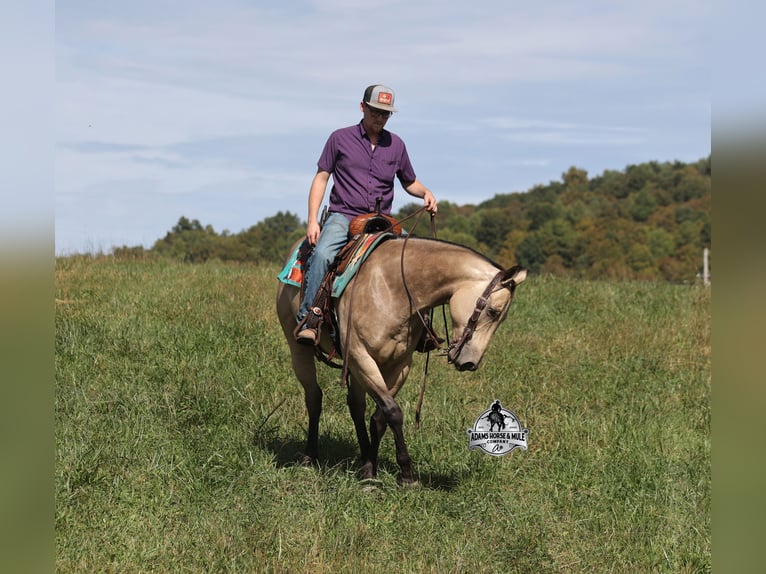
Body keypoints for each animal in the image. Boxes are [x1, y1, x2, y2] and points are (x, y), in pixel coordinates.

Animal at [276, 236, 527, 485]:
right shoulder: (360, 356)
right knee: (314, 398)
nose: (470, 363)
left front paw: (372, 470)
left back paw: (363, 455)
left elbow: (380, 417)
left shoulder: (399, 365)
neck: (392, 288)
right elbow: (393, 412)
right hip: (299, 350)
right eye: (493, 311)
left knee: (356, 405)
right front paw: (405, 475)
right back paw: (309, 457)